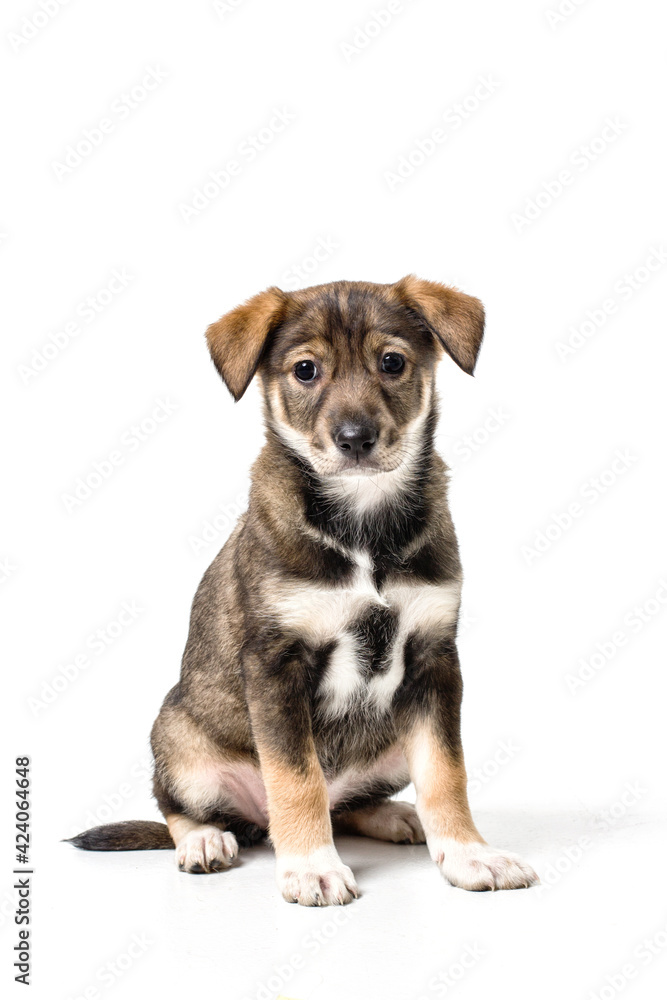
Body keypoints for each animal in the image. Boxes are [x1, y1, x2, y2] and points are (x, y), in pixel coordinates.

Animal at [69, 276, 536, 908]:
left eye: (392, 362)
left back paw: (395, 815)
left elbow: (446, 772)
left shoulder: (434, 660)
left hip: (391, 740)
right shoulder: (276, 664)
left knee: (348, 803)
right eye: (306, 370)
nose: (355, 440)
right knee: (183, 808)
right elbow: (296, 777)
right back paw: (206, 841)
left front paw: (468, 854)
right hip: (179, 739)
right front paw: (312, 867)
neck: (362, 526)